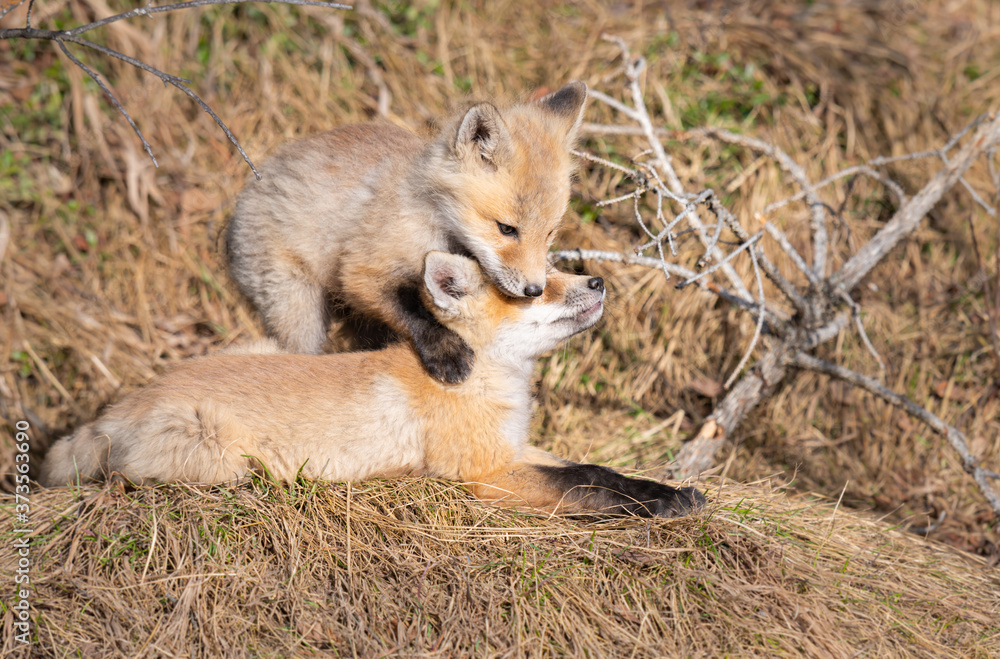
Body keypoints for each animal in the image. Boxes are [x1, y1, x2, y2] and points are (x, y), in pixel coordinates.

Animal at [41, 252, 706, 518]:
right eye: (534, 289)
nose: (597, 282)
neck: (486, 385)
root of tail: (119, 407)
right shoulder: (486, 475)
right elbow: (586, 485)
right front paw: (663, 506)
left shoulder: (515, 449)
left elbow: (602, 471)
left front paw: (671, 493)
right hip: (219, 459)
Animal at [225, 82, 589, 385]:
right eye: (506, 229)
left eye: (550, 232)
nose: (534, 289)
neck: (434, 220)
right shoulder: (361, 271)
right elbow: (411, 313)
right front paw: (445, 351)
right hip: (299, 312)